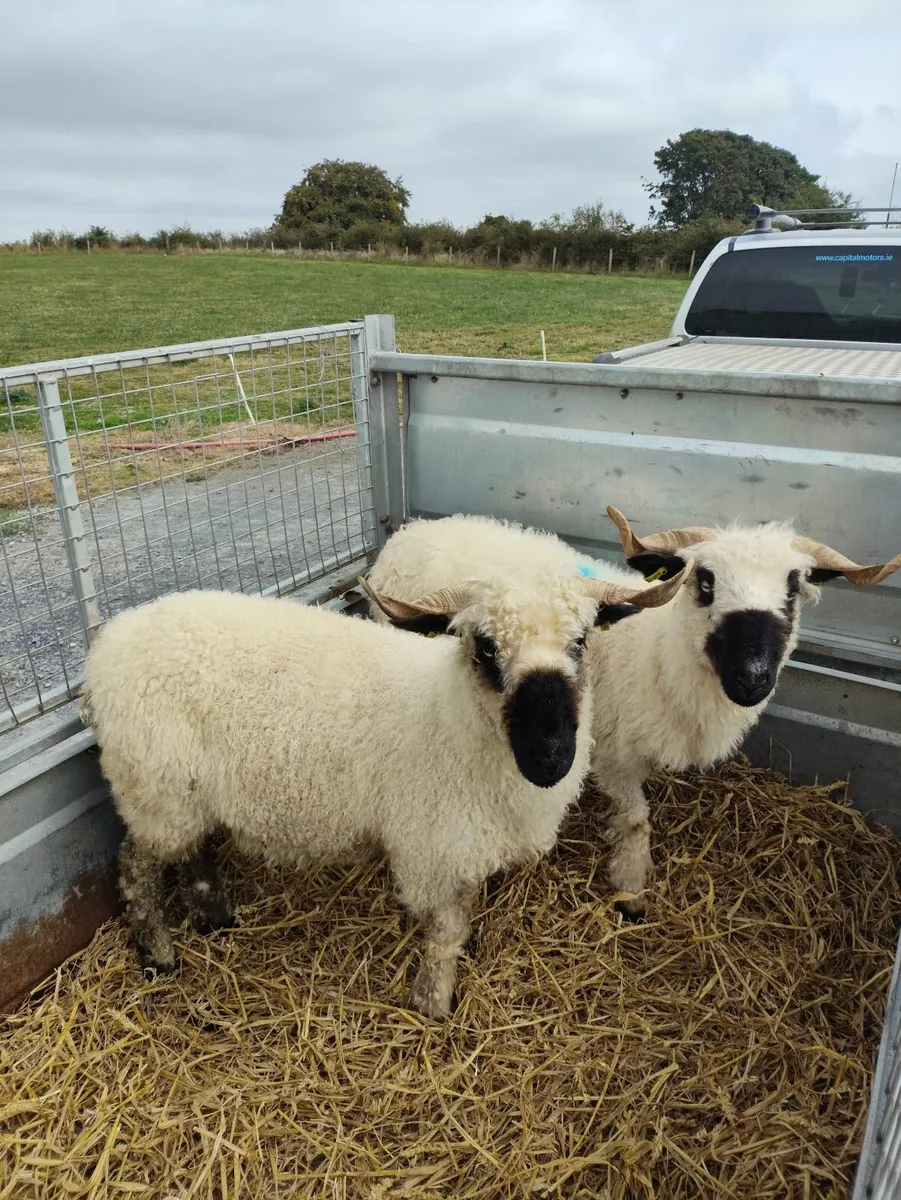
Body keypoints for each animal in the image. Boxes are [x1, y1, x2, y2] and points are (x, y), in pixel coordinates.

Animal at [79, 564, 689, 1019]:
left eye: (581, 641)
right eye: (485, 648)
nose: (551, 755)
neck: (447, 715)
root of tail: (111, 641)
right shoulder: (431, 850)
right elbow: (445, 931)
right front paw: (434, 1002)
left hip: (184, 794)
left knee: (192, 852)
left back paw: (215, 916)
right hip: (154, 786)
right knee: (136, 867)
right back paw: (159, 955)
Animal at [365, 507, 901, 921]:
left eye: (793, 589)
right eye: (705, 581)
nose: (752, 677)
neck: (654, 652)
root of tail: (411, 528)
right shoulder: (612, 753)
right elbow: (637, 818)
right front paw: (631, 886)